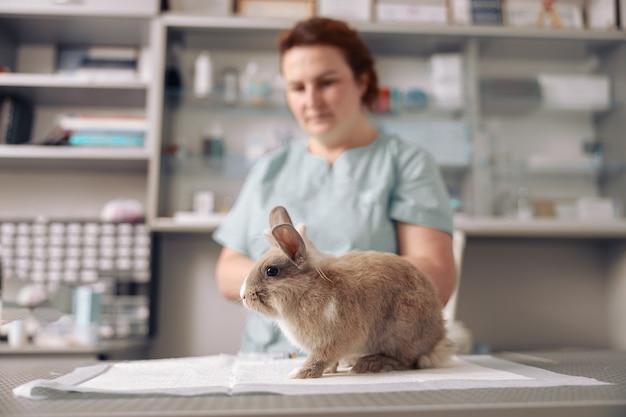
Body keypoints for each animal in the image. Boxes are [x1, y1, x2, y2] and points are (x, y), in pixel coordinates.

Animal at [239, 205, 454, 376]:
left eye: (271, 271)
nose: (243, 296)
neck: (307, 289)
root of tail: (438, 339)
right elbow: (329, 362)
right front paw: (327, 371)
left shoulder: (331, 342)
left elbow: (319, 358)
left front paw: (300, 374)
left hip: (402, 329)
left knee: (407, 361)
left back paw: (369, 364)